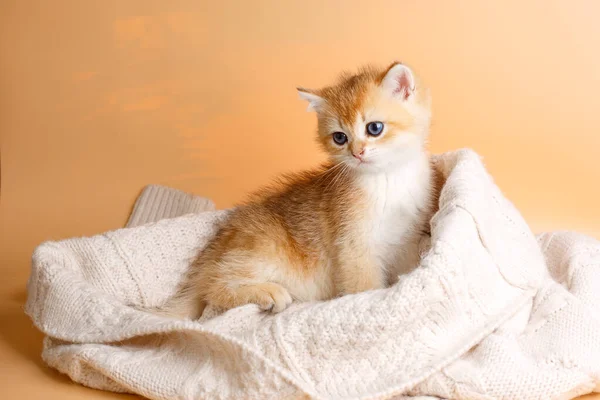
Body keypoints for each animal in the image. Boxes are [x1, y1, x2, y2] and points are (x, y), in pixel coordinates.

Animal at [163, 61, 436, 318]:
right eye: (339, 137)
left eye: (374, 128)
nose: (356, 153)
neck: (388, 178)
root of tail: (215, 248)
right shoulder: (354, 247)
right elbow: (365, 289)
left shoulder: (407, 239)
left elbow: (407, 266)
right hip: (265, 253)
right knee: (212, 291)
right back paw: (267, 292)